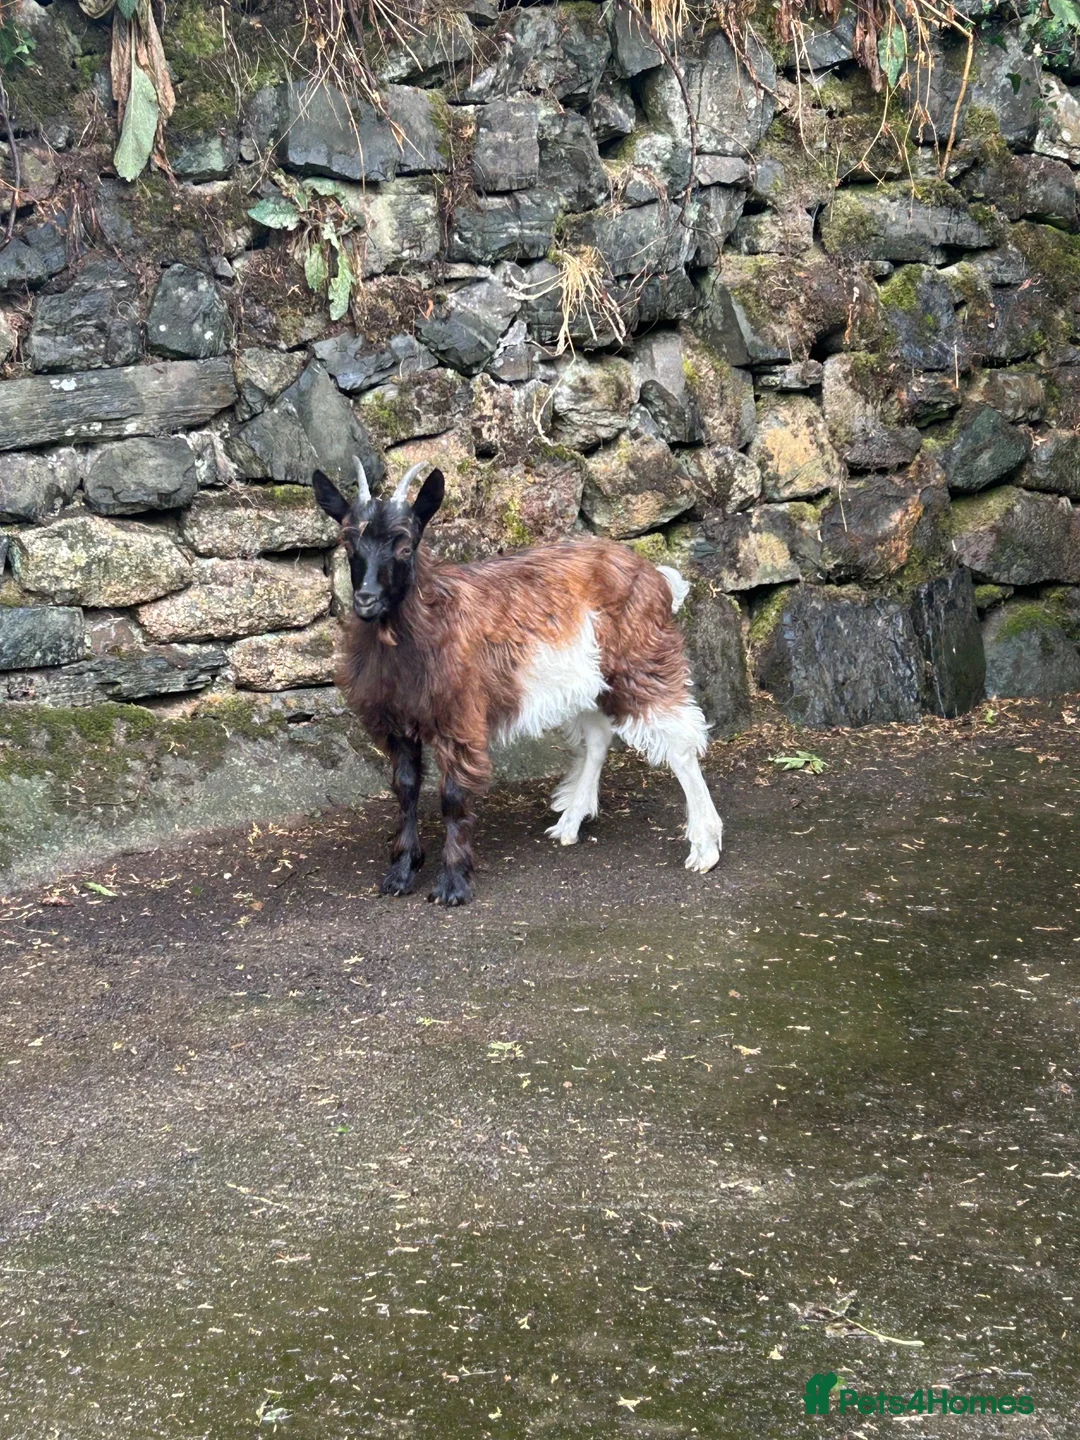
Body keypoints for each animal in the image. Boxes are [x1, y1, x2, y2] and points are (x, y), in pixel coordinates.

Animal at [313, 459, 724, 906]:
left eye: (405, 546)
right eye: (349, 545)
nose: (366, 599)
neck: (427, 621)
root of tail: (659, 577)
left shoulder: (460, 716)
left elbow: (452, 797)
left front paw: (452, 884)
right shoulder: (396, 721)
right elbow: (405, 790)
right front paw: (401, 873)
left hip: (640, 661)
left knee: (680, 744)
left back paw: (704, 847)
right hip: (588, 679)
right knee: (599, 739)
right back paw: (570, 823)